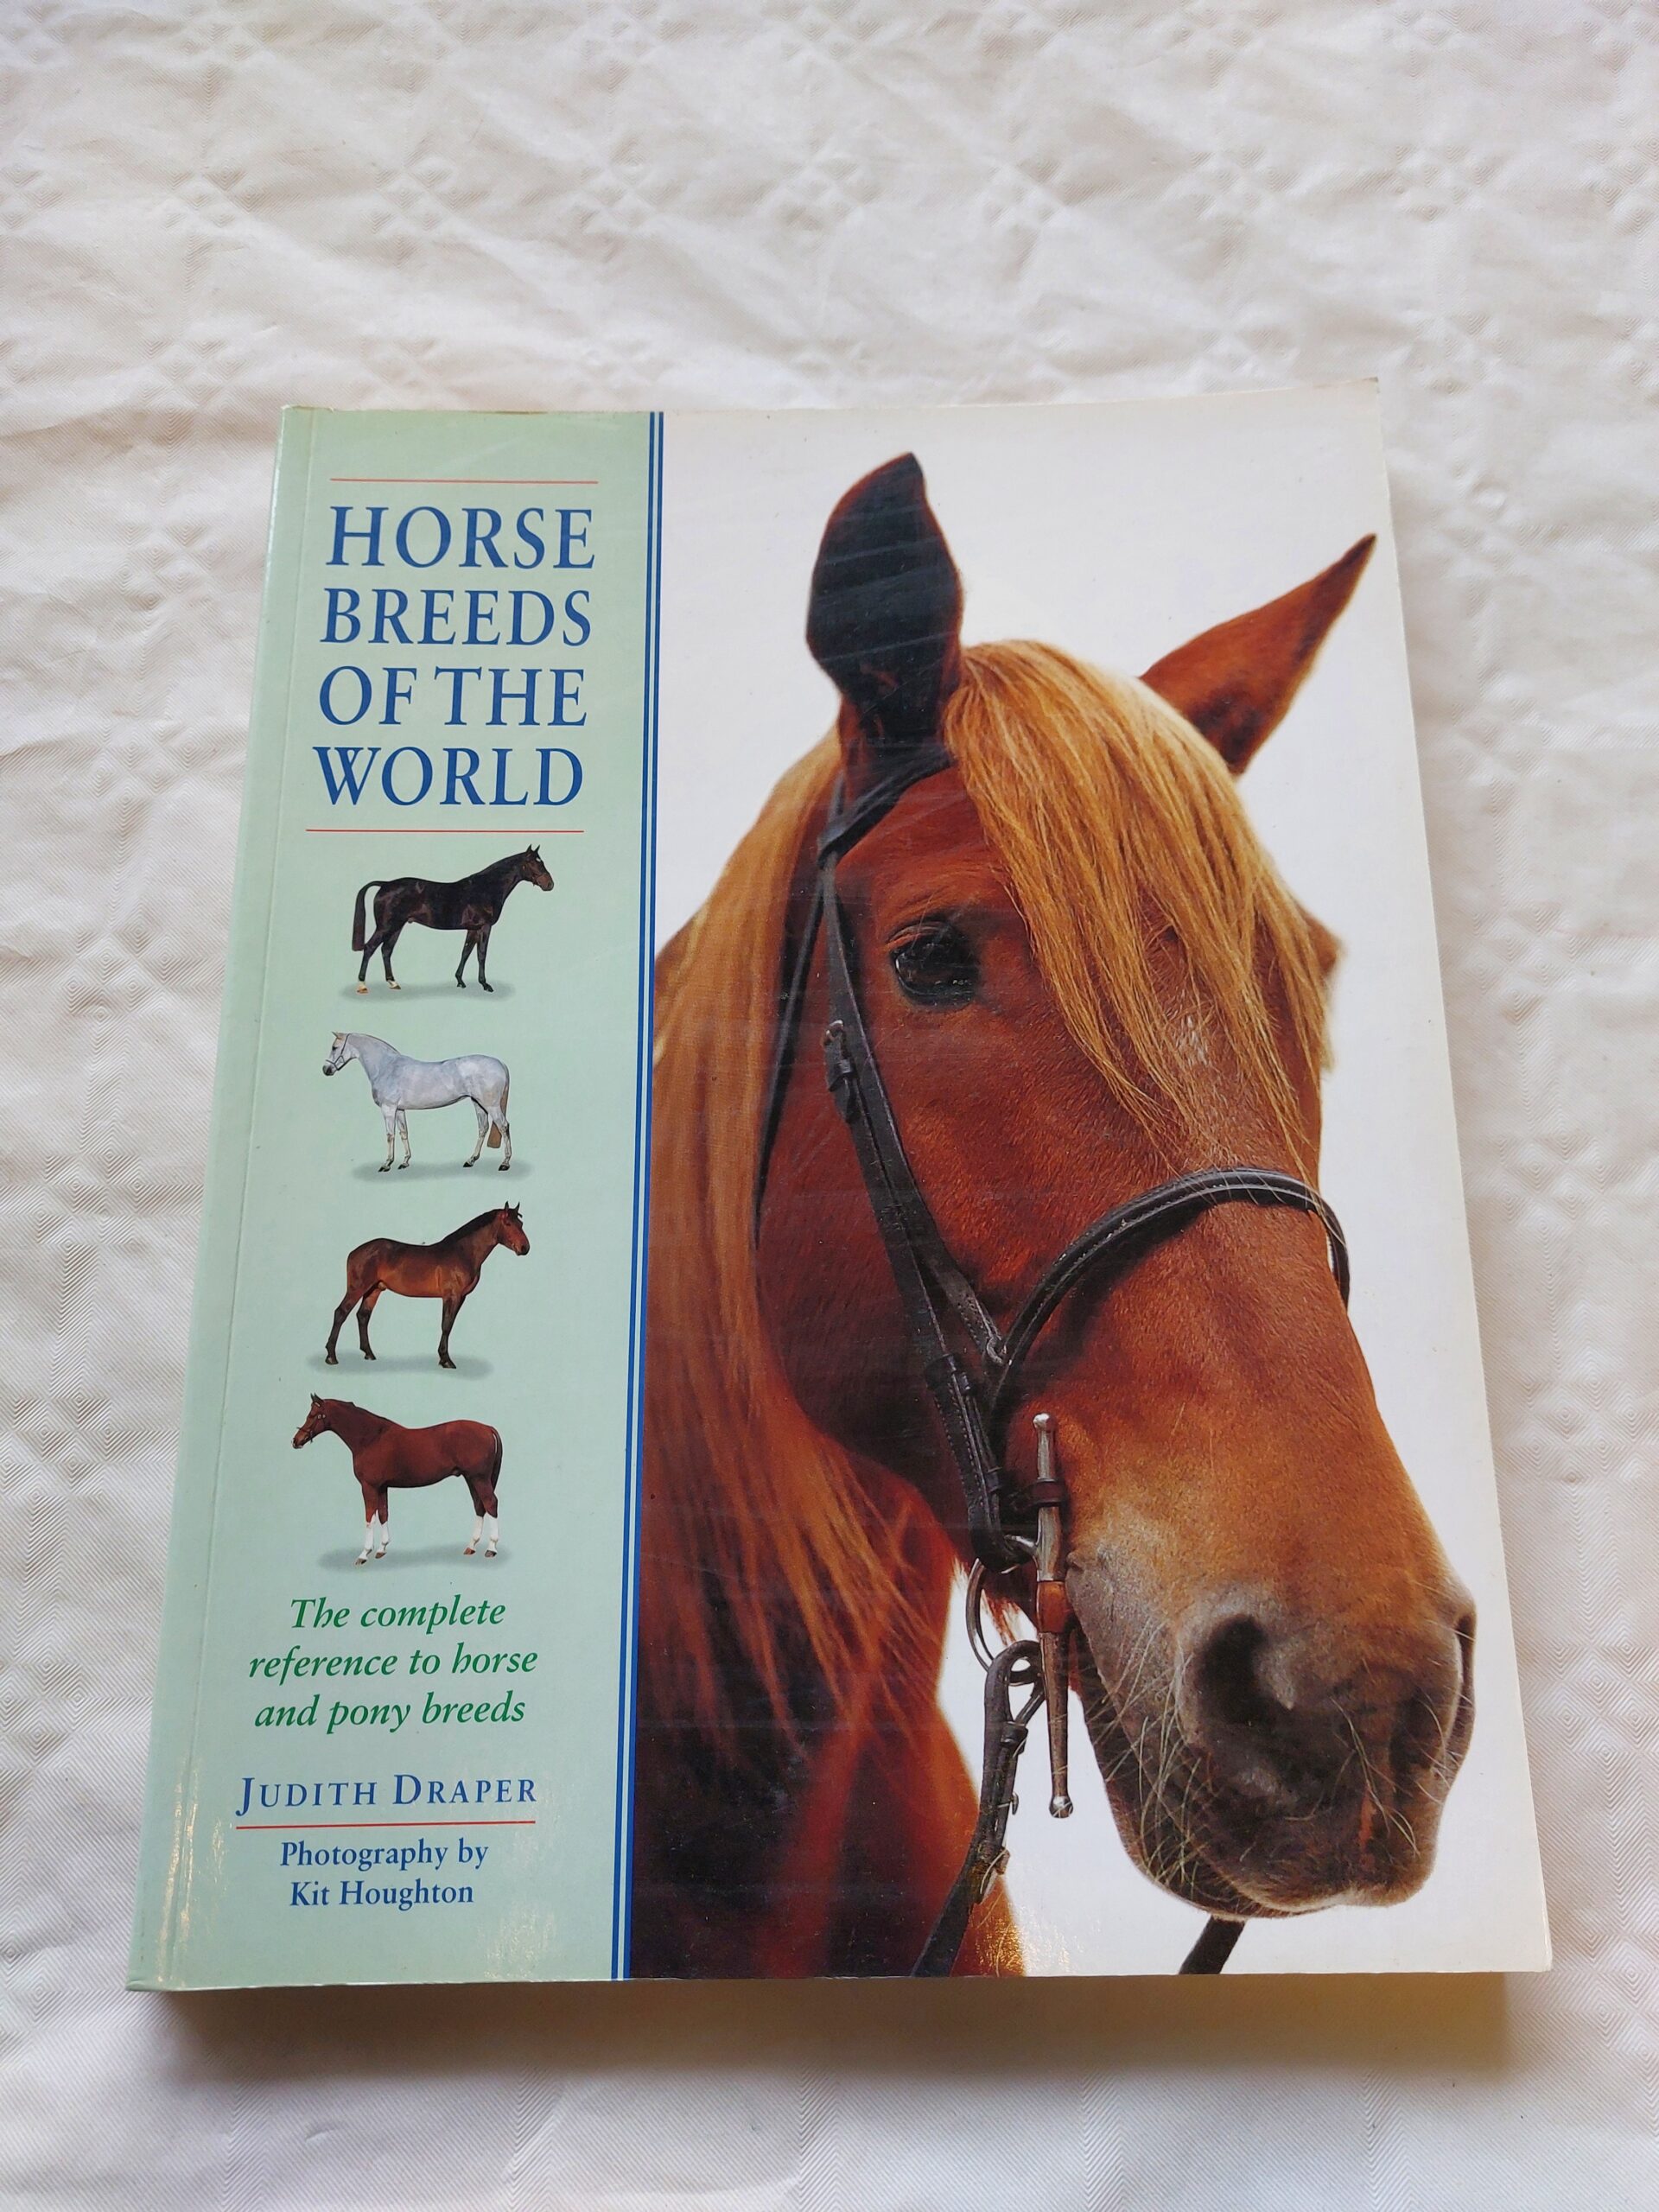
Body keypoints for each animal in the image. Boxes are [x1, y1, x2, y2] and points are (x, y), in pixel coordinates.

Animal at [292, 1395, 504, 1563]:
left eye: (315, 1415)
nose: (296, 1441)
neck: (371, 1438)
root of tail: (488, 1428)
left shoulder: (368, 1486)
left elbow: (369, 1517)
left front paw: (364, 1554)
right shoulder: (382, 1487)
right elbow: (383, 1513)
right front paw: (382, 1549)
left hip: (479, 1478)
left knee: (490, 1503)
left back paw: (491, 1549)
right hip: (471, 1478)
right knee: (479, 1506)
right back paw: (471, 1546)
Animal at [322, 1032, 512, 1171]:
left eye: (334, 1047)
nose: (326, 1069)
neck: (386, 1067)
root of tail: (500, 1064)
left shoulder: (388, 1109)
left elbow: (390, 1135)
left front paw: (387, 1164)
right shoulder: (399, 1110)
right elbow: (403, 1133)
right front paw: (404, 1162)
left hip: (491, 1105)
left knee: (503, 1126)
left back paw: (505, 1163)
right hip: (478, 1104)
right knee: (483, 1128)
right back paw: (471, 1160)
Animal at [324, 1204, 530, 1369]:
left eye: (521, 1224)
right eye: (508, 1224)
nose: (525, 1248)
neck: (462, 1253)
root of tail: (354, 1252)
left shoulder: (461, 1297)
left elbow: (450, 1325)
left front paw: (443, 1358)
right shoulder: (451, 1296)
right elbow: (446, 1325)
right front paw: (446, 1360)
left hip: (374, 1290)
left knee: (363, 1316)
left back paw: (369, 1354)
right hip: (358, 1288)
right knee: (341, 1313)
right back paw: (331, 1357)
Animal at [351, 845, 553, 992]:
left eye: (541, 862)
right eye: (533, 863)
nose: (550, 884)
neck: (486, 888)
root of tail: (385, 884)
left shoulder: (473, 928)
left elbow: (466, 952)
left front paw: (460, 981)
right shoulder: (485, 927)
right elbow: (481, 954)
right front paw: (485, 984)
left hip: (397, 927)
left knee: (386, 951)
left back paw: (393, 983)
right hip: (386, 927)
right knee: (369, 948)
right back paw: (362, 986)